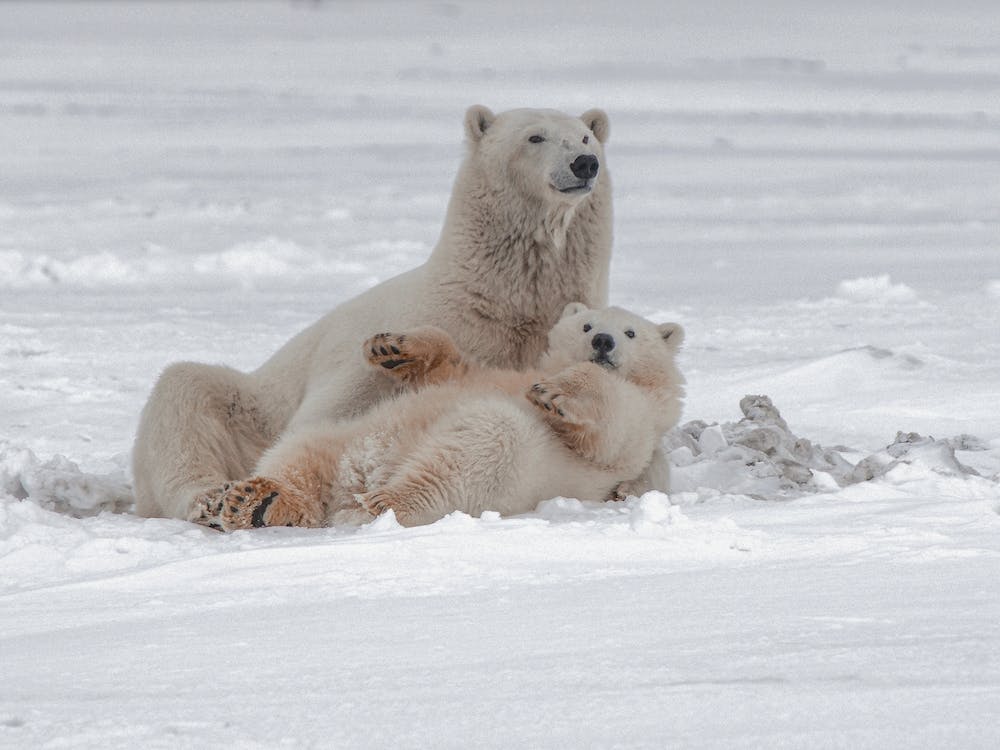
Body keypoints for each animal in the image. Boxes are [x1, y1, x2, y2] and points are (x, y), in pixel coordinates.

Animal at [131, 105, 617, 522]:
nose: (584, 163)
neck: (497, 301)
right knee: (184, 392)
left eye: (586, 136)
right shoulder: (396, 343)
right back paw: (208, 496)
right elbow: (330, 414)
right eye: (534, 136)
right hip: (251, 410)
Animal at [188, 304, 685, 530]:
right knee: (300, 454)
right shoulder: (489, 373)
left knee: (474, 450)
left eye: (631, 332)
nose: (602, 341)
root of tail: (362, 474)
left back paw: (382, 502)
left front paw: (553, 391)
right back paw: (246, 500)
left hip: (513, 461)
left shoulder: (640, 424)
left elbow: (612, 425)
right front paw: (389, 345)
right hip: (348, 435)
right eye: (586, 325)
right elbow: (450, 366)